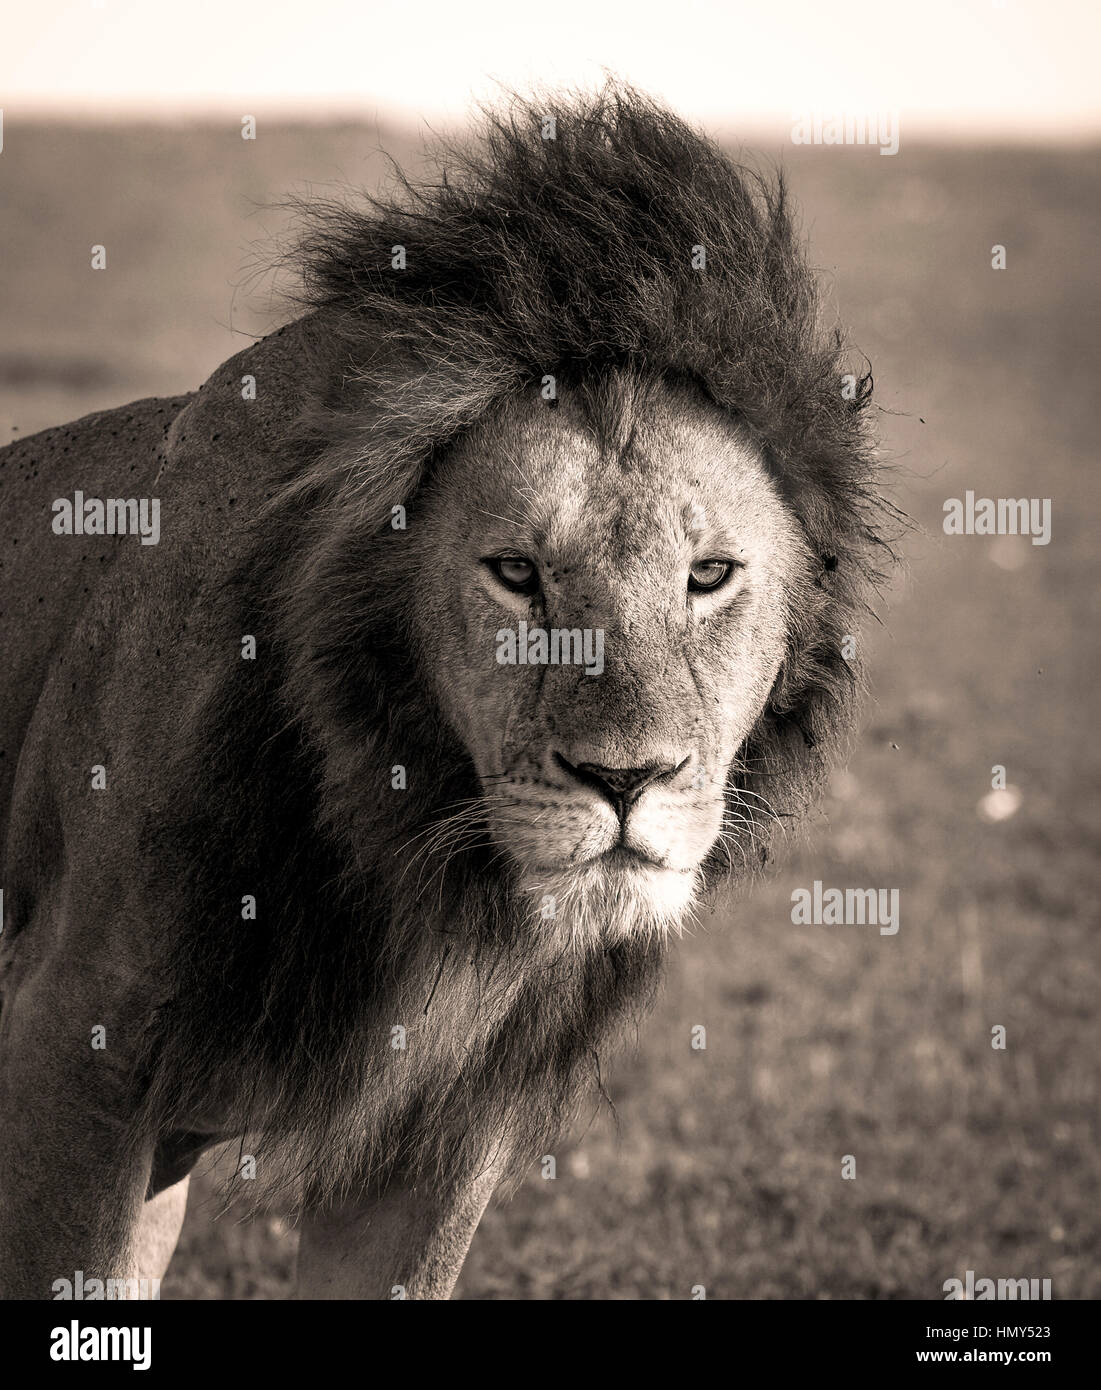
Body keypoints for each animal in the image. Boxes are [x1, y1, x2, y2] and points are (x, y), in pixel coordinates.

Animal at [0, 86, 892, 1299]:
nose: (626, 781)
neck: (407, 844)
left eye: (708, 575)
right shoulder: (71, 1062)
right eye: (515, 572)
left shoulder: (437, 1141)